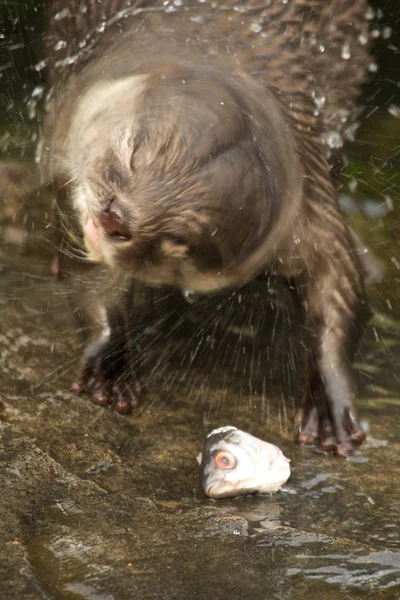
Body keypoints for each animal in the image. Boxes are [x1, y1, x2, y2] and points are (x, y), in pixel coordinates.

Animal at [39, 0, 372, 454]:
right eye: (134, 150)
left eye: (177, 240)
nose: (115, 217)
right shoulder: (66, 157)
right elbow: (90, 276)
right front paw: (109, 364)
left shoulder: (306, 193)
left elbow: (336, 272)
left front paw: (331, 405)